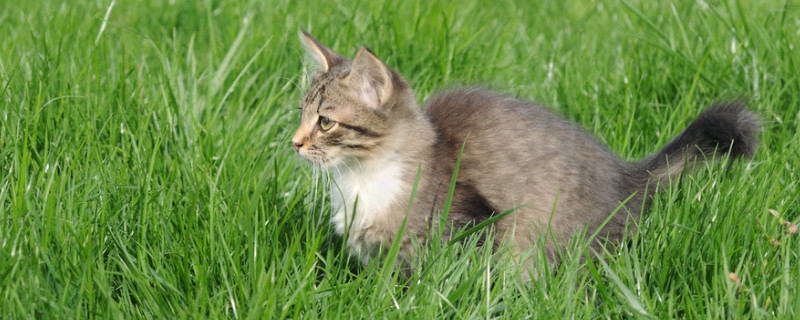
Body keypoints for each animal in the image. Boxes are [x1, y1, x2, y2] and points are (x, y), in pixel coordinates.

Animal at [290, 31, 760, 278]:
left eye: (326, 122)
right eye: (301, 113)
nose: (294, 142)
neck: (362, 178)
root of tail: (626, 174)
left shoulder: (470, 224)